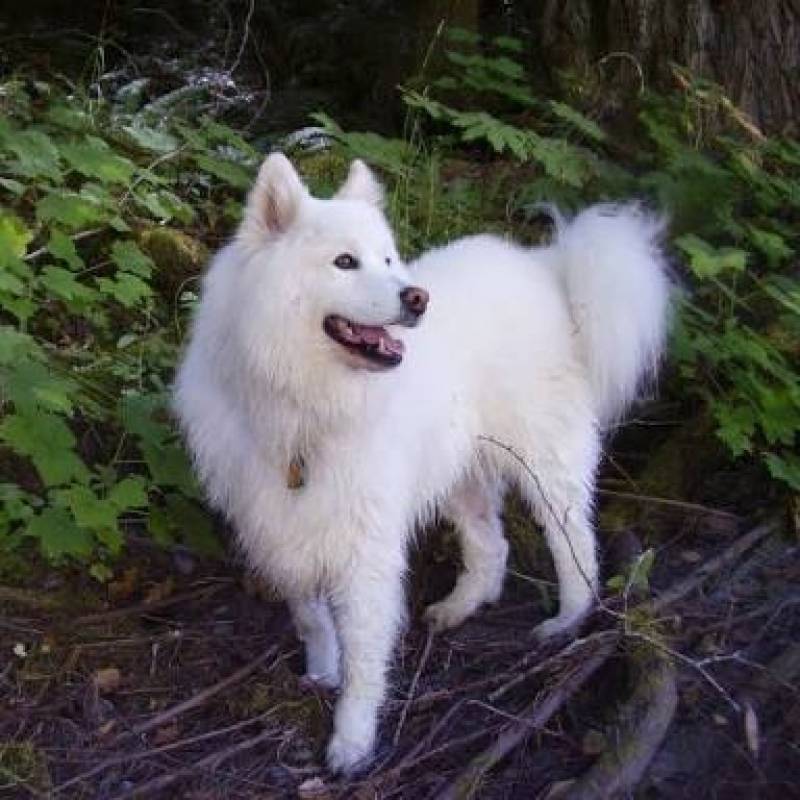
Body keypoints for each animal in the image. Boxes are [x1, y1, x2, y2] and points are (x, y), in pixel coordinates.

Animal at [173, 153, 668, 772]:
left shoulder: (366, 546)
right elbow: (312, 618)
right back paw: (458, 608)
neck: (305, 405)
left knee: (574, 543)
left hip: (544, 464)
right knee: (491, 547)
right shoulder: (282, 524)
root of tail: (546, 267)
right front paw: (320, 673)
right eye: (344, 262)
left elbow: (365, 653)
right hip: (462, 473)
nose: (417, 298)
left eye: (387, 259)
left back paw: (566, 622)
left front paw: (352, 741)